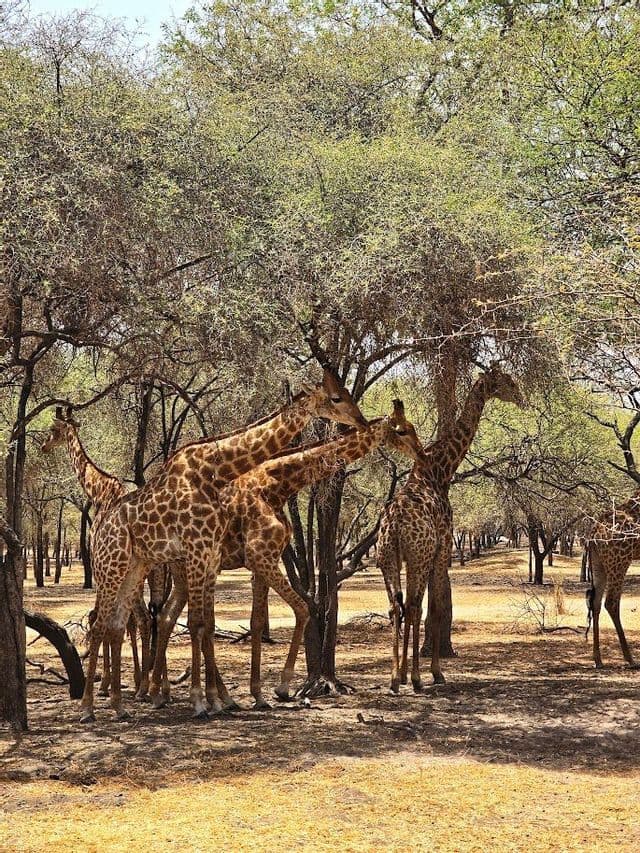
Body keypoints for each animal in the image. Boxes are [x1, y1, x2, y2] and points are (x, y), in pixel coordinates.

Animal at [79, 369, 366, 722]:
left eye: (347, 392)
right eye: (336, 397)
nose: (360, 420)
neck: (214, 471)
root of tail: (100, 524)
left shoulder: (211, 554)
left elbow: (209, 623)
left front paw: (218, 699)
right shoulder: (204, 551)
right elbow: (200, 623)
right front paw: (203, 702)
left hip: (136, 567)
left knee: (122, 624)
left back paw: (123, 705)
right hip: (110, 566)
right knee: (101, 623)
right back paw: (91, 706)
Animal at [149, 401, 422, 709]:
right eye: (402, 430)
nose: (421, 452)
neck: (277, 486)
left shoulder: (262, 562)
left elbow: (257, 622)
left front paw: (258, 693)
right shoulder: (261, 556)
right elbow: (302, 608)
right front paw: (282, 686)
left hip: (183, 569)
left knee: (168, 616)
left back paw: (164, 693)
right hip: (194, 565)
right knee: (187, 620)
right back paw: (205, 696)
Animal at [377, 366, 524, 693]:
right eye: (508, 381)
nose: (521, 397)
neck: (440, 471)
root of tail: (394, 524)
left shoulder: (417, 557)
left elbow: (420, 607)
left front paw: (404, 673)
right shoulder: (442, 550)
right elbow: (437, 607)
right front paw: (433, 672)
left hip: (387, 558)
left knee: (396, 607)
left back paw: (393, 679)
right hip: (417, 557)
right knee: (414, 607)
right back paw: (416, 679)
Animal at [586, 491, 640, 669]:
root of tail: (593, 533)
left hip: (598, 562)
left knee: (595, 601)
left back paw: (598, 659)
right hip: (620, 560)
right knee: (611, 602)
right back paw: (630, 659)